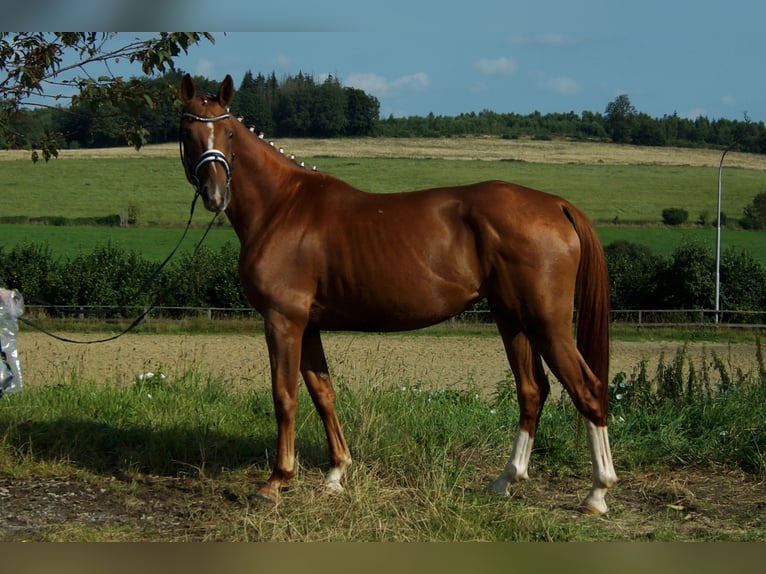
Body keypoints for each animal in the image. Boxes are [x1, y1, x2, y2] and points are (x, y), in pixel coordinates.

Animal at [178, 74, 616, 516]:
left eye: (229, 133)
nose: (215, 193)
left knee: (588, 389)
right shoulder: (308, 325)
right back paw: (505, 480)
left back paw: (597, 493)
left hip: (547, 323)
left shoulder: (283, 320)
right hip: (513, 319)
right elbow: (323, 393)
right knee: (532, 391)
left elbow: (285, 396)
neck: (282, 207)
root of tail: (556, 205)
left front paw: (276, 481)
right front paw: (336, 473)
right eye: (188, 132)